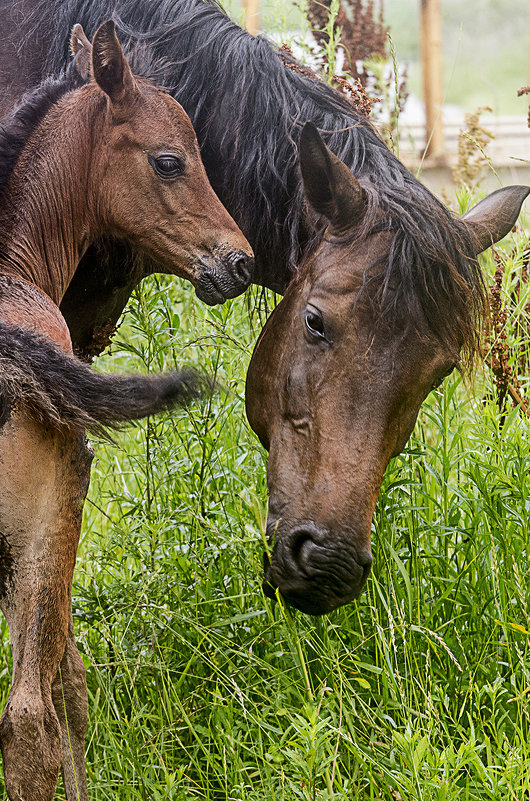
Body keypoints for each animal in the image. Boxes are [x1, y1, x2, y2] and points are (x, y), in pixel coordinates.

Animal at [0, 18, 251, 800]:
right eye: (170, 161)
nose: (240, 261)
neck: (15, 271)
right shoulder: (49, 524)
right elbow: (69, 688)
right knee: (28, 720)